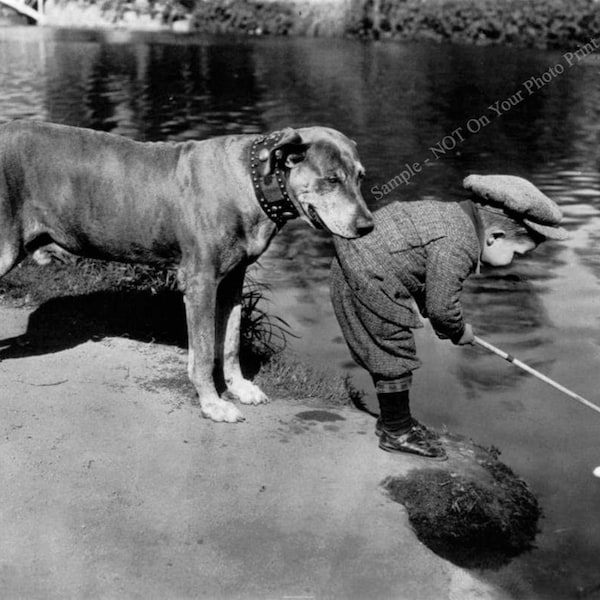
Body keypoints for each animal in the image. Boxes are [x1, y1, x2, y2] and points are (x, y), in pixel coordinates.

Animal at [0, 120, 376, 422]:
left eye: (360, 177)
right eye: (331, 179)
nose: (367, 226)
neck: (253, 180)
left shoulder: (232, 281)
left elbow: (230, 342)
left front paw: (240, 387)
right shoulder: (201, 284)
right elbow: (205, 351)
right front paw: (213, 404)